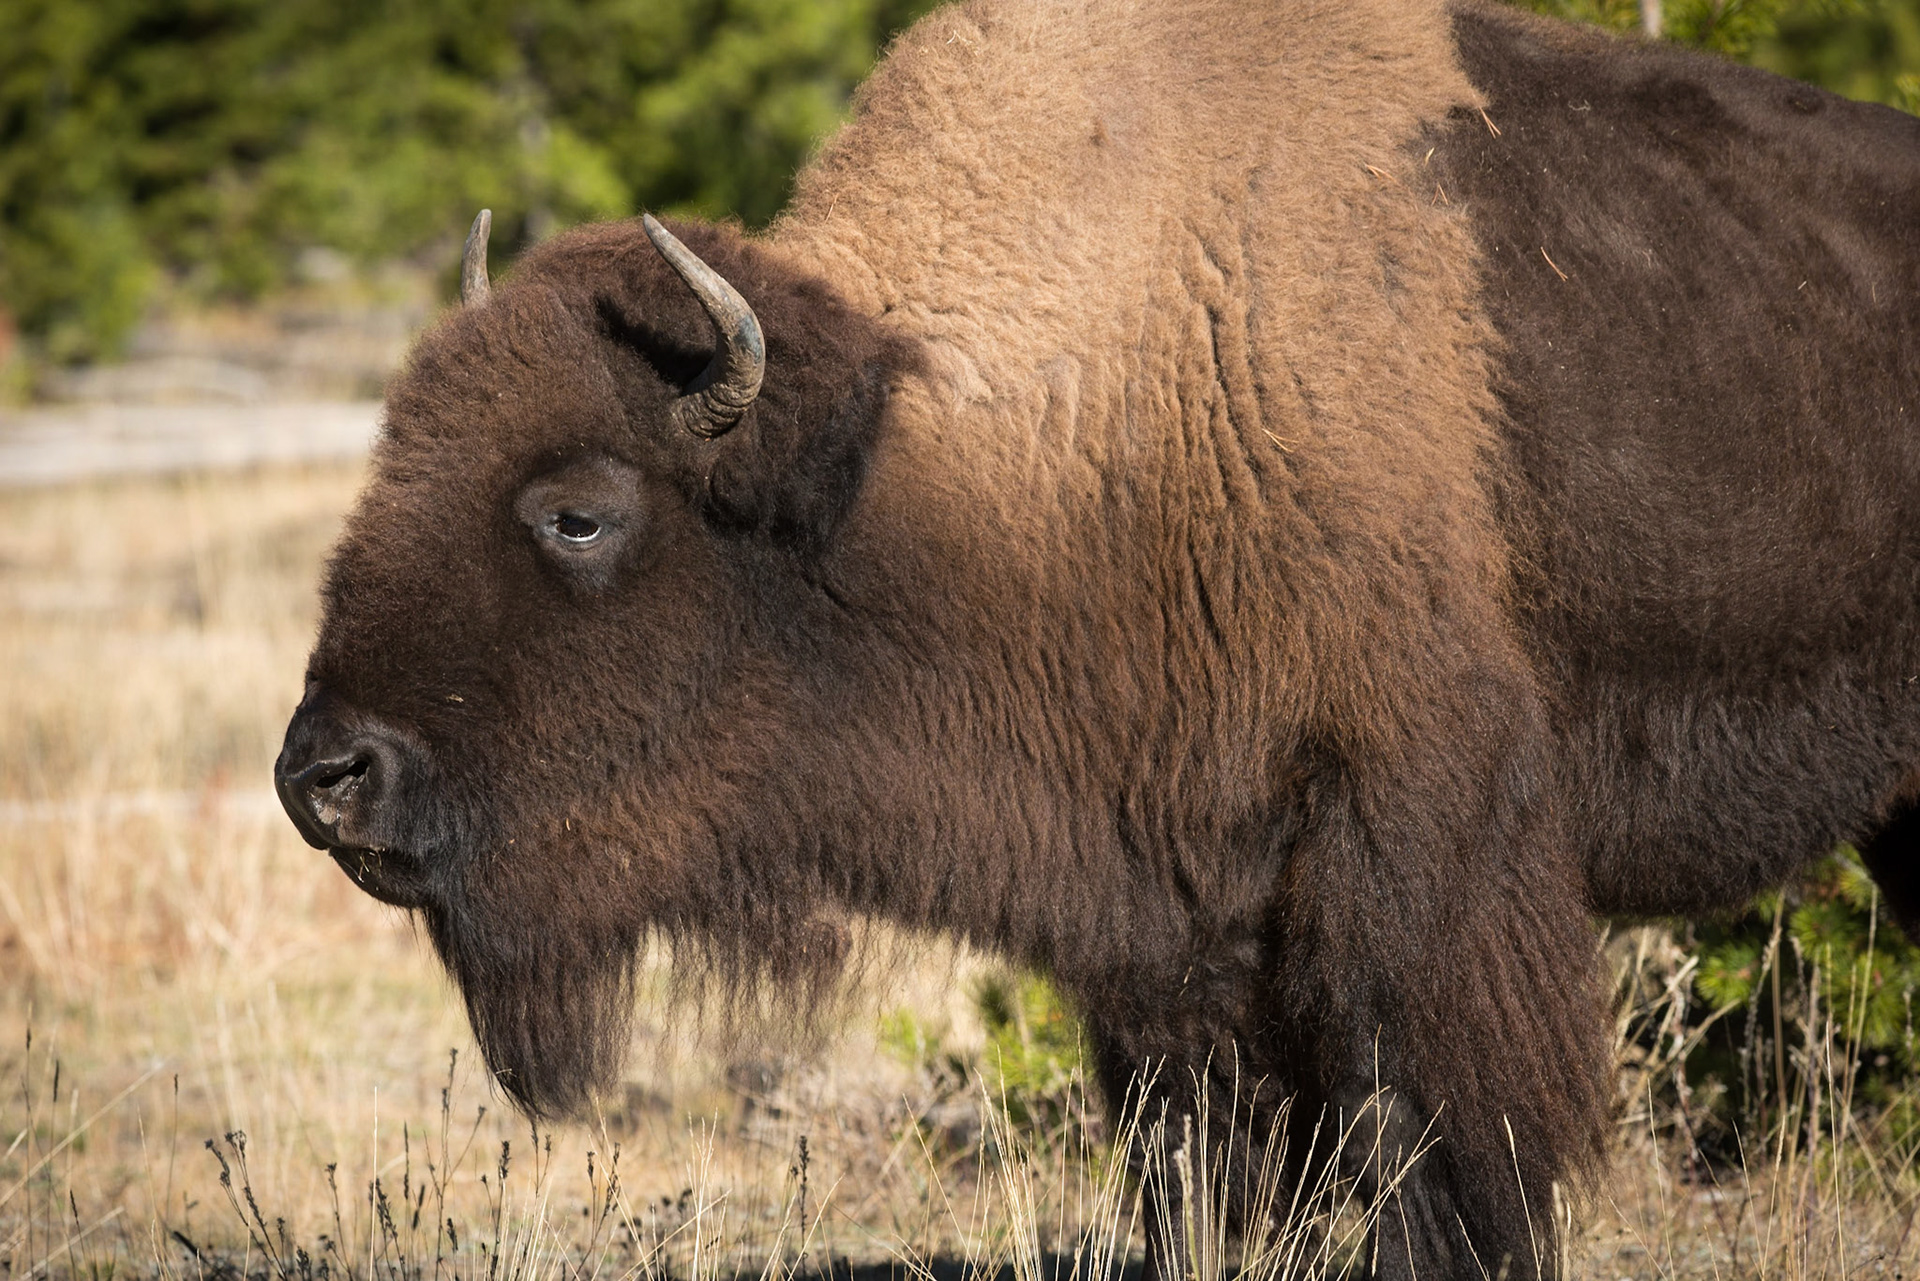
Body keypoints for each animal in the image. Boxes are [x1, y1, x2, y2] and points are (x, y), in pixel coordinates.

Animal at [274, 0, 1920, 1276]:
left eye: (580, 512)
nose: (325, 777)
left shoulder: (1414, 863)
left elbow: (1432, 1164)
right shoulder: (1169, 924)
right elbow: (1196, 1171)